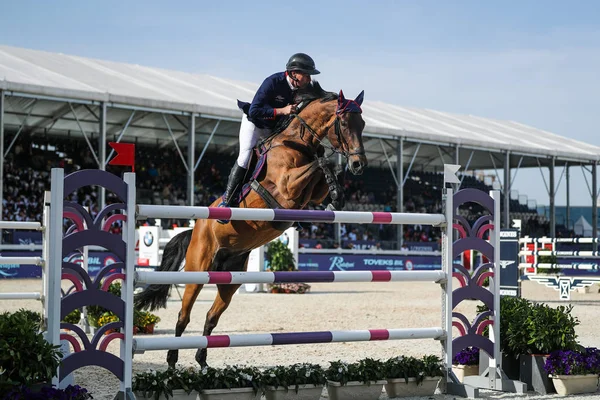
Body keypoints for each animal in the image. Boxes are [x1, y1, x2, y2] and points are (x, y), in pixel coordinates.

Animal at [134, 84, 368, 368]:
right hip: (197, 271)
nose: (359, 164)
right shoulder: (288, 186)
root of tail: (195, 229)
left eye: (362, 124)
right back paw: (171, 359)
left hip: (229, 280)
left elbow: (322, 179)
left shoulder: (309, 195)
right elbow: (318, 164)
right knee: (183, 315)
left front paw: (336, 192)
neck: (297, 140)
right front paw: (332, 172)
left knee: (211, 317)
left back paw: (202, 361)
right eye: (344, 123)